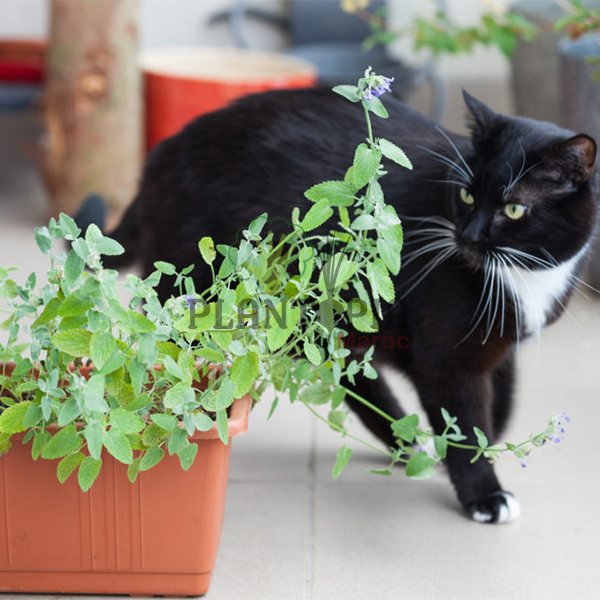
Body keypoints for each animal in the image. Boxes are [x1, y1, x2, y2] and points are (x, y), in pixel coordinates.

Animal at [78, 86, 596, 524]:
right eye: (467, 194)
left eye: (515, 209)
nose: (466, 236)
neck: (518, 278)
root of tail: (161, 154)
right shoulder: (447, 358)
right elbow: (464, 424)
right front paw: (484, 491)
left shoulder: (498, 342)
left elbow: (501, 395)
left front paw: (493, 436)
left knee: (349, 371)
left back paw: (405, 441)